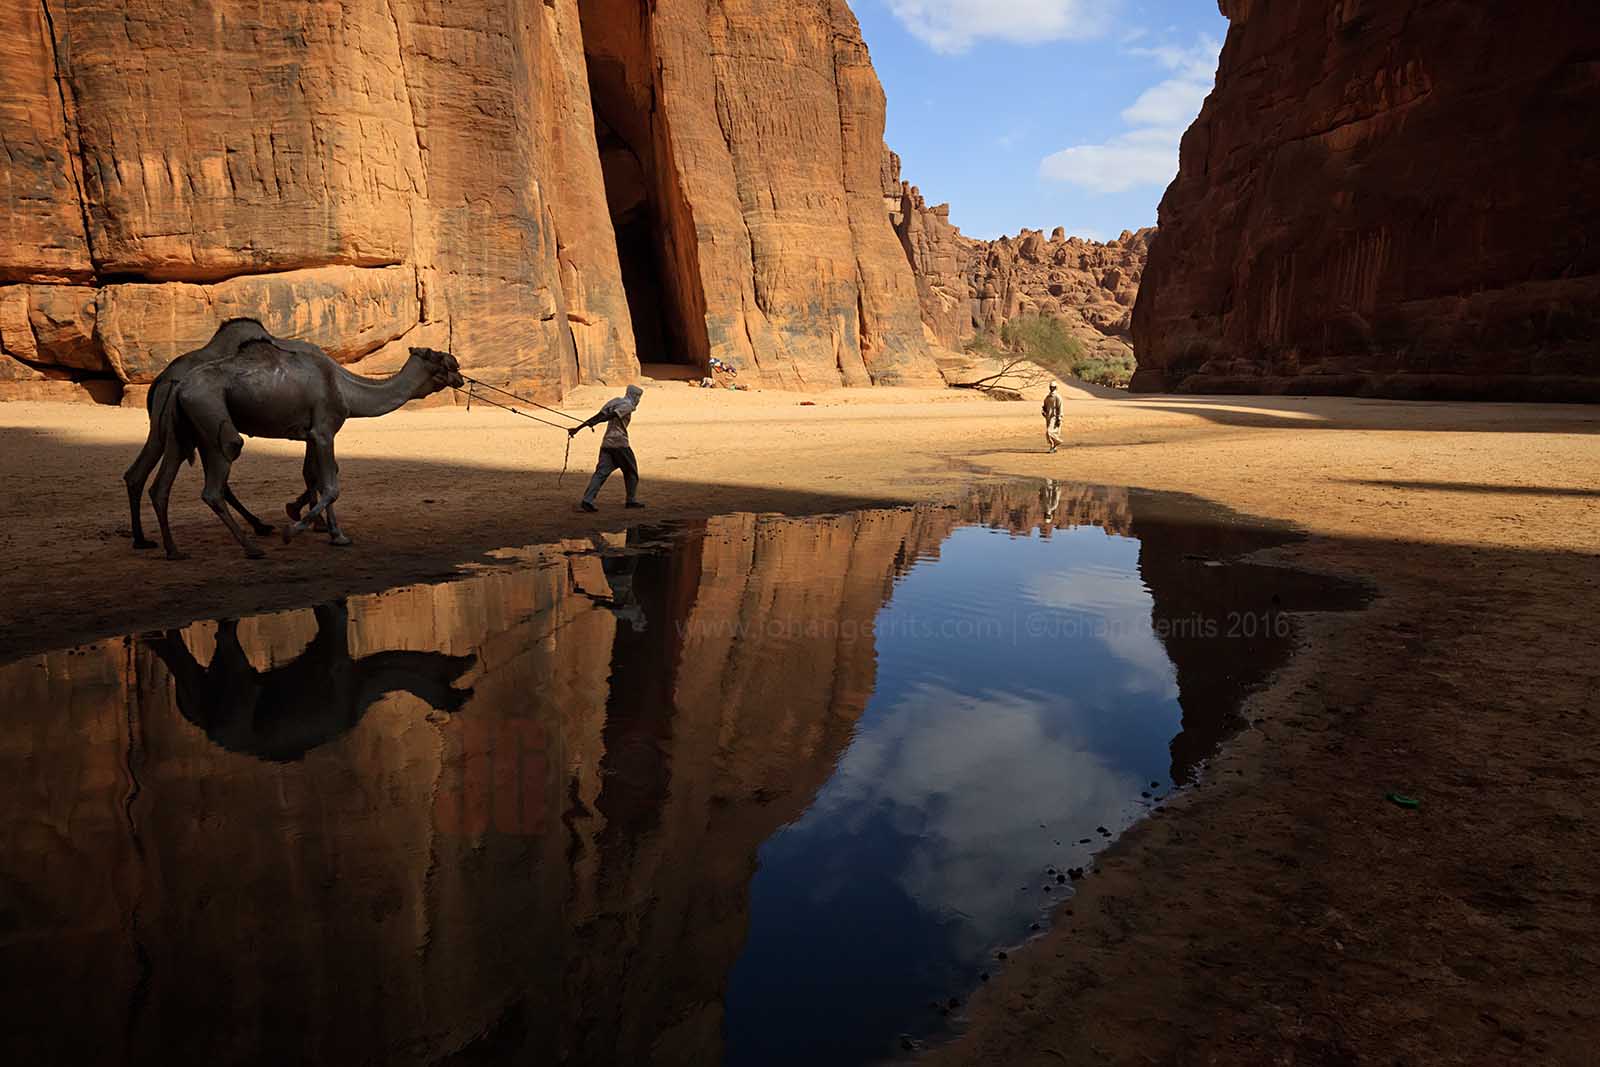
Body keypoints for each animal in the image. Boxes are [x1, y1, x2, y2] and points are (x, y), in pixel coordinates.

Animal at [145, 600, 475, 762]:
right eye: (453, 688)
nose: (470, 659)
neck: (363, 684)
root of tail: (208, 727)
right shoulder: (335, 655)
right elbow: (337, 612)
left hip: (208, 691)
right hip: (237, 694)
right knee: (227, 641)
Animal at [151, 339, 463, 559]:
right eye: (444, 359)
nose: (460, 377)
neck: (345, 389)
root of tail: (179, 387)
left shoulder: (312, 435)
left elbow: (318, 477)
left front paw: (334, 533)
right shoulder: (324, 430)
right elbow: (332, 486)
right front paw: (293, 531)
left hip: (185, 430)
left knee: (161, 486)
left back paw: (174, 551)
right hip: (210, 412)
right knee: (216, 480)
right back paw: (252, 547)